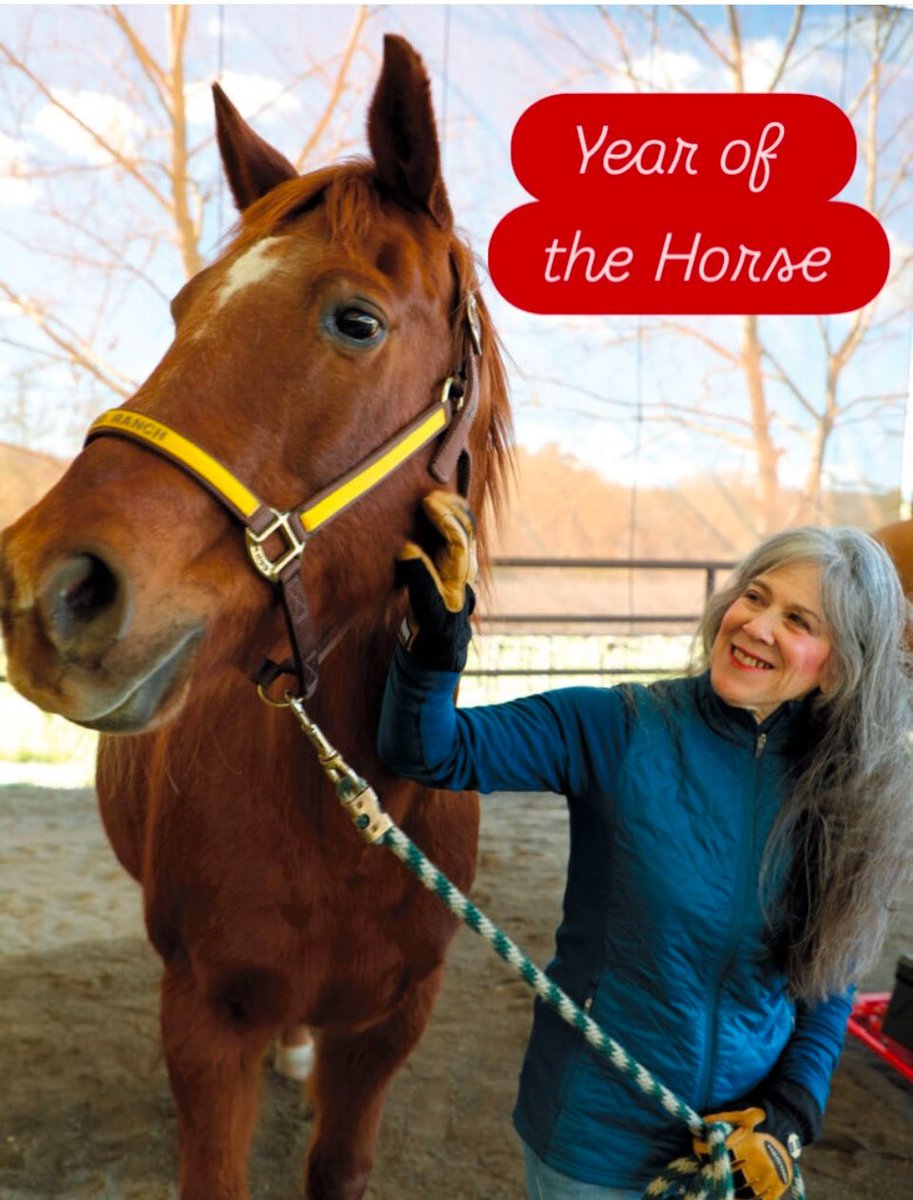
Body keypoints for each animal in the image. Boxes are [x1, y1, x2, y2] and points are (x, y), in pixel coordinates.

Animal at [0, 35, 511, 1200]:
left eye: (355, 319)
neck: (349, 815)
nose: (47, 589)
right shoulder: (204, 1023)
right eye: (183, 311)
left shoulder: (391, 1029)